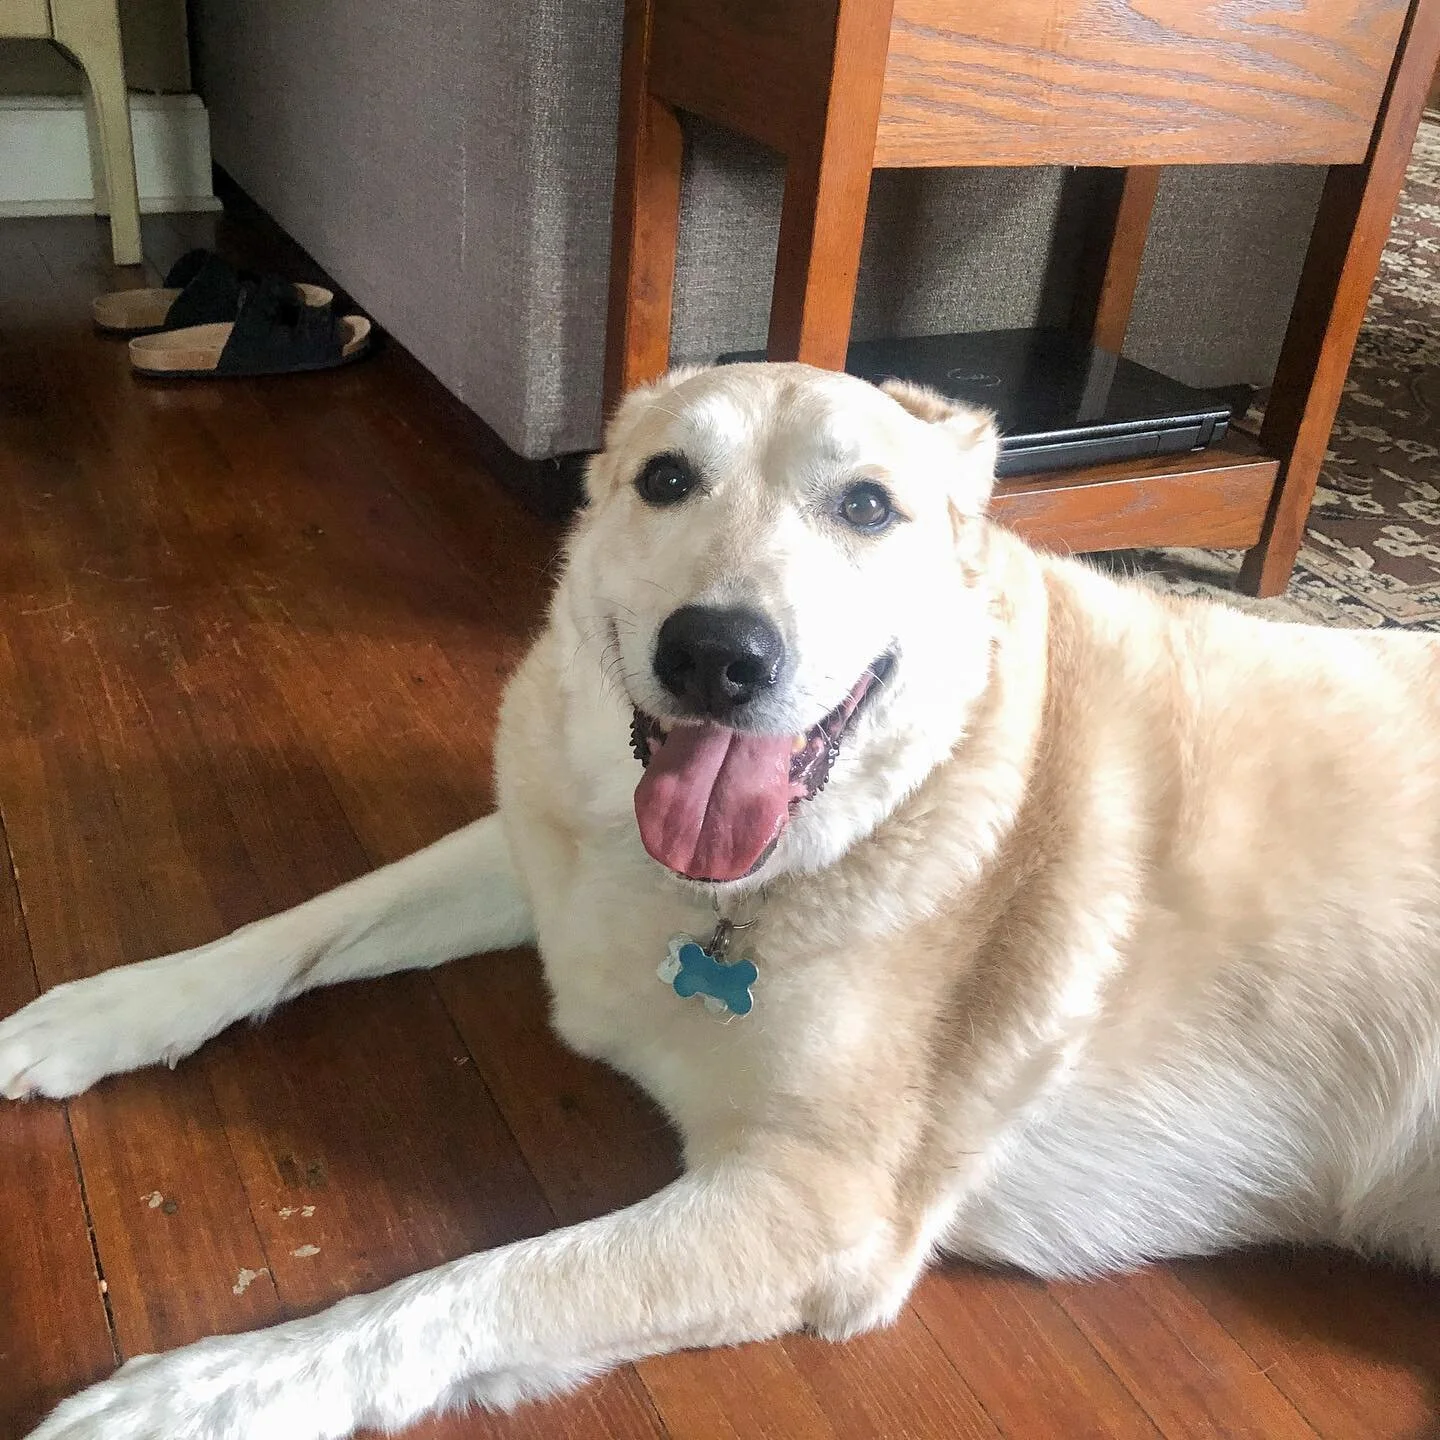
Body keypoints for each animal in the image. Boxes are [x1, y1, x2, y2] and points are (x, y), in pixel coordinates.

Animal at [6, 361, 1440, 1439]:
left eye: (867, 505)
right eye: (666, 481)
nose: (716, 655)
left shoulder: (817, 1210)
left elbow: (467, 1288)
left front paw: (213, 1388)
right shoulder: (546, 854)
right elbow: (305, 921)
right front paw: (102, 1012)